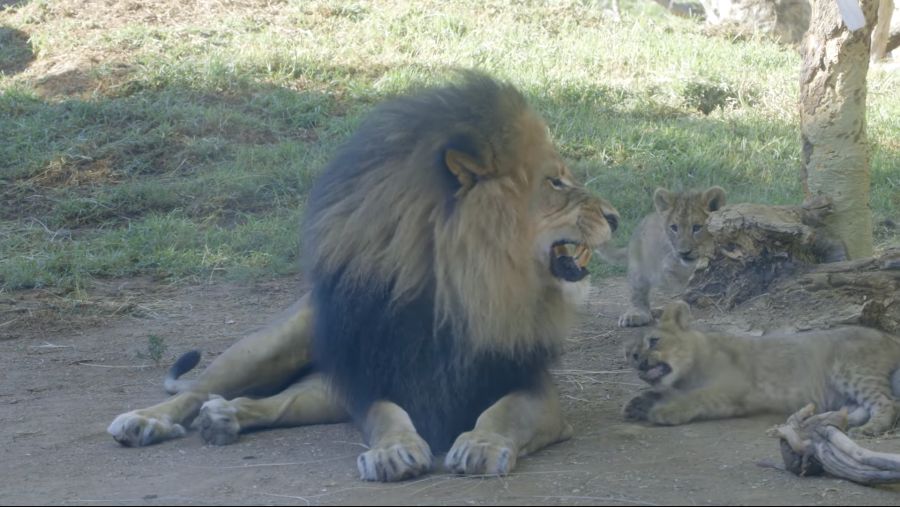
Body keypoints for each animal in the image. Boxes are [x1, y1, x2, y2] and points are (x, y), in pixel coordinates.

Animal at [107, 70, 620, 480]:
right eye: (556, 182)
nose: (616, 217)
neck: (468, 284)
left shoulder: (531, 384)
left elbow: (504, 413)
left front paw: (481, 444)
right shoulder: (377, 375)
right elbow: (387, 416)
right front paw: (394, 453)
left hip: (325, 385)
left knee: (276, 401)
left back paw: (224, 418)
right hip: (273, 345)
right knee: (201, 389)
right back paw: (145, 421)